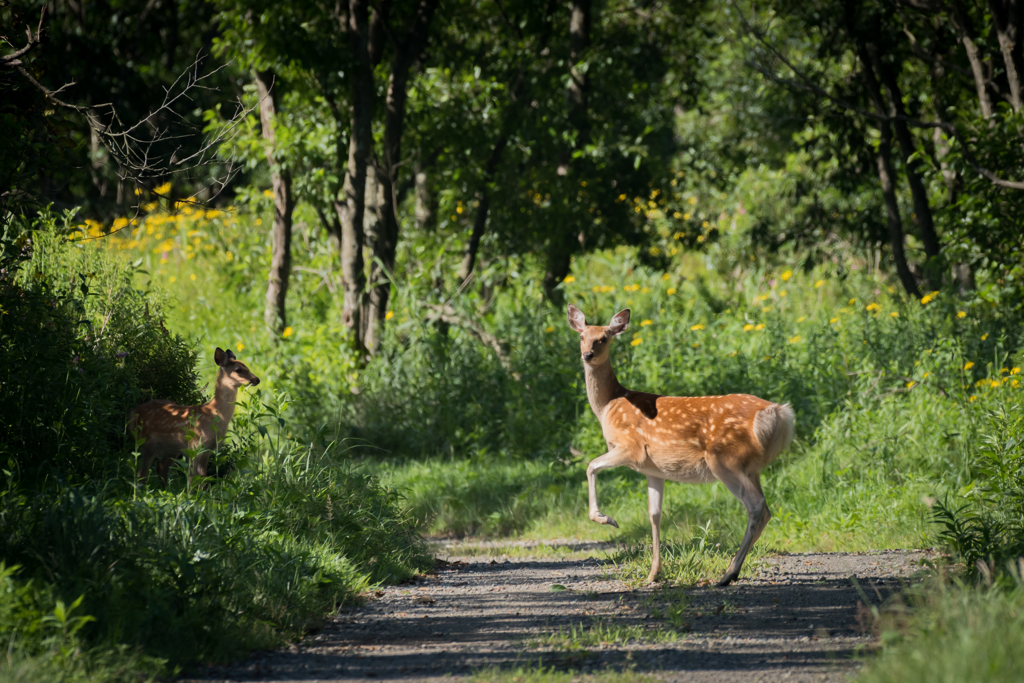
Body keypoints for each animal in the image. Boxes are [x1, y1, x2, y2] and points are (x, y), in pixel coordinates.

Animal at [128, 348, 262, 485]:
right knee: (141, 473)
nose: (257, 379)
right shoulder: (195, 446)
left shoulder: (208, 449)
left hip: (171, 448)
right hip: (146, 441)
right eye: (238, 369)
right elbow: (193, 478)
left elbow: (203, 476)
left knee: (161, 468)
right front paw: (190, 491)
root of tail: (133, 411)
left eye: (247, 366)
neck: (213, 413)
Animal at [569, 305, 790, 589]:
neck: (608, 405)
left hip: (724, 460)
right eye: (582, 336)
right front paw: (654, 573)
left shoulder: (632, 447)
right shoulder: (653, 470)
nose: (588, 354)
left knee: (756, 506)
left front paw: (605, 518)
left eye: (604, 338)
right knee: (767, 509)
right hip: (751, 468)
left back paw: (728, 574)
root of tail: (777, 413)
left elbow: (591, 466)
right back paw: (732, 571)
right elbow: (654, 514)